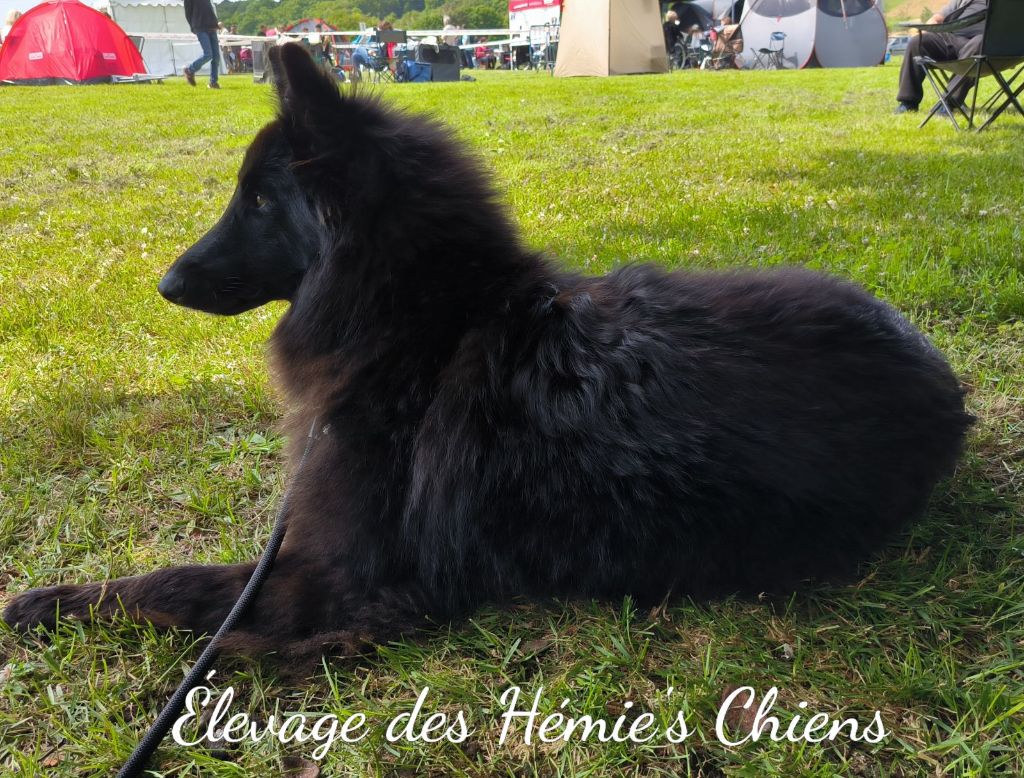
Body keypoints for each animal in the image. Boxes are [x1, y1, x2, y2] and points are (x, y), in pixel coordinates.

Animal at [4, 44, 973, 660]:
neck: (418, 325)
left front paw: (54, 602)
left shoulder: (334, 576)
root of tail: (944, 386)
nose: (165, 283)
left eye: (257, 202)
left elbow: (173, 585)